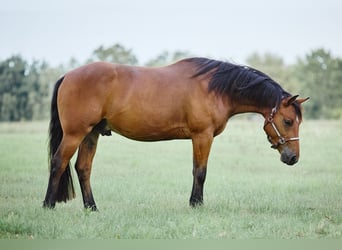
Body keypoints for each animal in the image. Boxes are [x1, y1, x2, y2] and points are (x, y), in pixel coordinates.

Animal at [43, 57, 310, 210]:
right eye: (288, 121)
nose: (293, 158)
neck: (215, 88)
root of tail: (68, 75)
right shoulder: (202, 136)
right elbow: (200, 172)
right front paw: (196, 205)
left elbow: (196, 170)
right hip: (75, 134)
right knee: (58, 162)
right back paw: (48, 205)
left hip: (91, 134)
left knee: (83, 168)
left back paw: (92, 208)